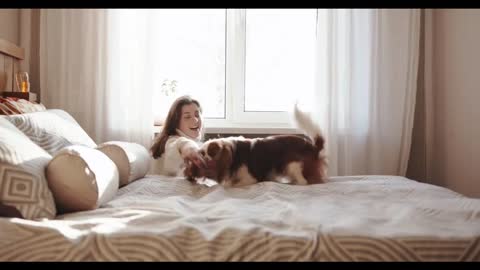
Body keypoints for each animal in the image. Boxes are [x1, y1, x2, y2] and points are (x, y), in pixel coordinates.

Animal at [184, 104, 326, 187]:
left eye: (210, 154)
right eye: (202, 153)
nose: (204, 158)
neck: (234, 155)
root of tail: (313, 147)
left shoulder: (250, 179)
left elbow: (232, 184)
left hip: (292, 164)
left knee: (303, 181)